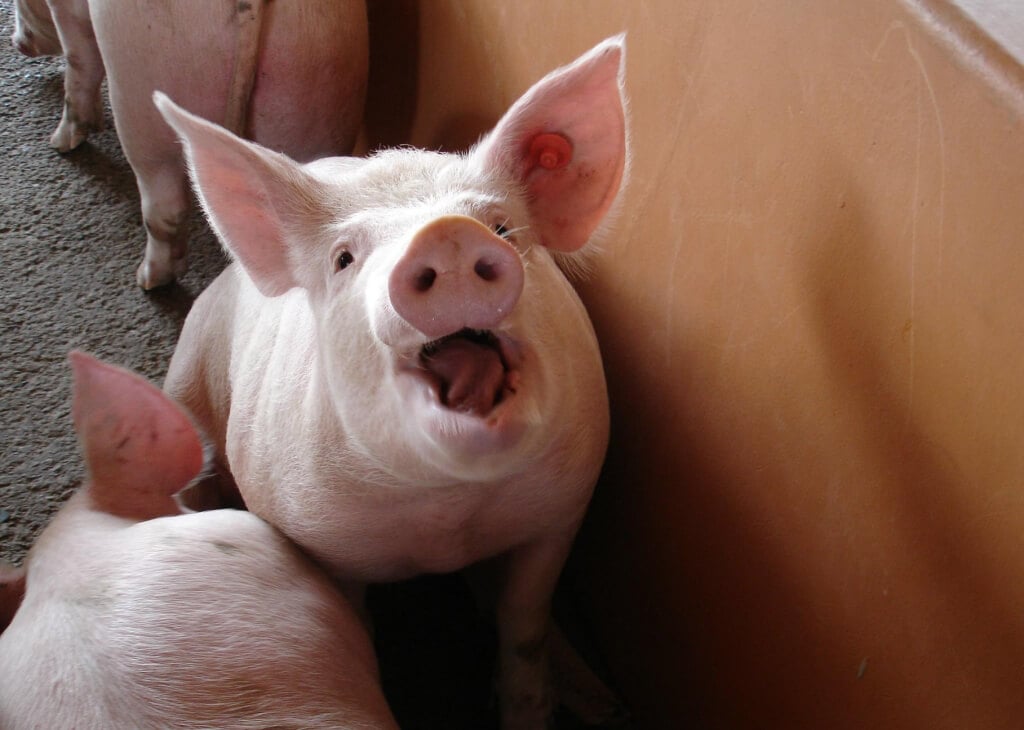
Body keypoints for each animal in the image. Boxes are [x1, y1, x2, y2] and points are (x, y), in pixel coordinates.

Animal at [10, 0, 368, 289]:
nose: (17, 44)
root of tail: (249, 5)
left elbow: (78, 60)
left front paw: (60, 143)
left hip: (143, 91)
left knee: (163, 206)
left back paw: (147, 280)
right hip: (309, 89)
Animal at [158, 35, 629, 730]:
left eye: (502, 226)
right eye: (344, 259)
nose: (447, 236)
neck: (447, 513)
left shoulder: (566, 506)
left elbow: (524, 619)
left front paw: (529, 711)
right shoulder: (313, 540)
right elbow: (353, 632)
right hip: (185, 383)